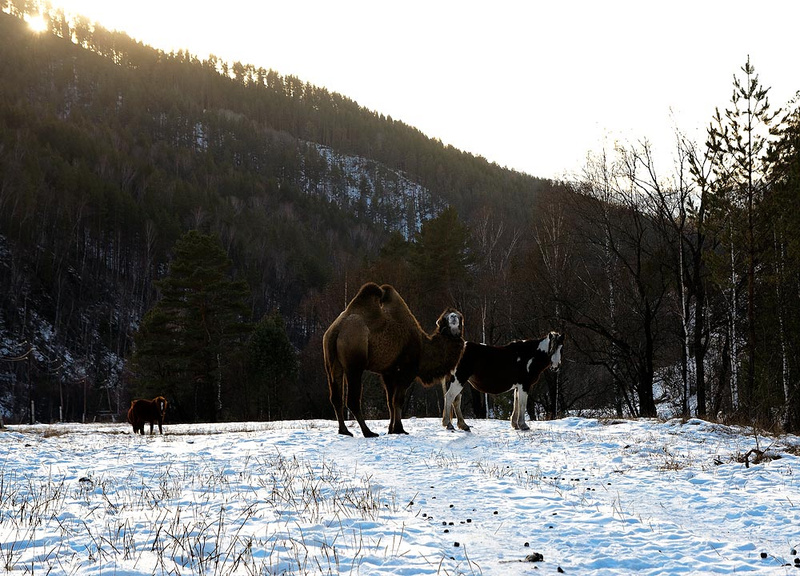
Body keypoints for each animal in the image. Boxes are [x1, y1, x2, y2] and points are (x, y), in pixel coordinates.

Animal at [323, 282, 465, 437]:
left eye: (459, 316)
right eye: (445, 317)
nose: (453, 317)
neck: (423, 347)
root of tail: (337, 330)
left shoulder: (388, 373)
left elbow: (390, 402)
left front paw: (391, 429)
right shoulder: (406, 371)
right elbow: (398, 400)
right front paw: (399, 429)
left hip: (332, 362)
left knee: (336, 397)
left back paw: (344, 431)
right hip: (354, 363)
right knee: (352, 400)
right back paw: (368, 432)